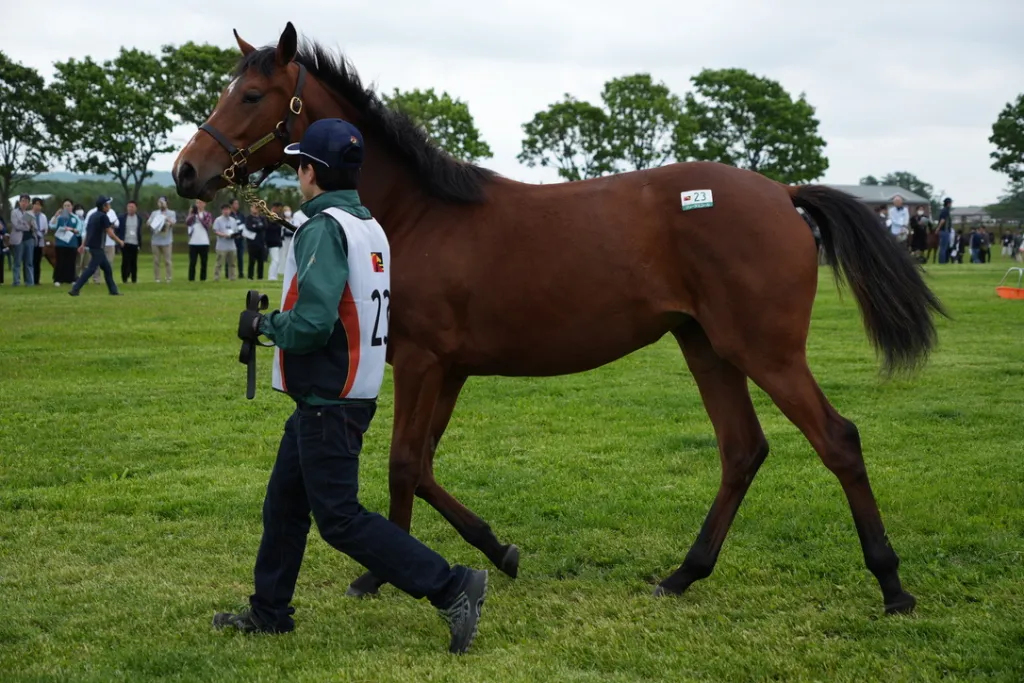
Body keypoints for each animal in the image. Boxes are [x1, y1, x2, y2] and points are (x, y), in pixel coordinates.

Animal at [172, 22, 945, 615]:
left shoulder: (422, 362)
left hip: (767, 350)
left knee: (837, 440)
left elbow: (401, 464)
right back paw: (683, 574)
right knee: (742, 450)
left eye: (250, 95)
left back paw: (892, 586)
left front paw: (378, 574)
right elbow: (423, 465)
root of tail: (781, 193)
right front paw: (499, 549)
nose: (186, 172)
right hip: (706, 346)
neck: (420, 214)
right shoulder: (451, 370)